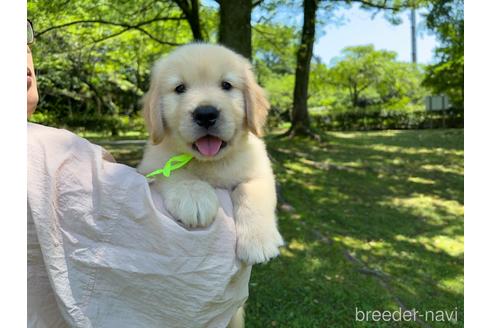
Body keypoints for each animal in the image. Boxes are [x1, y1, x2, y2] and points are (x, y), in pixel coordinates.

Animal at [138, 43, 284, 266]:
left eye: (226, 85)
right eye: (180, 88)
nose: (206, 114)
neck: (212, 161)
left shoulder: (260, 171)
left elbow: (251, 192)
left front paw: (258, 240)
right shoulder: (151, 165)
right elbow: (178, 173)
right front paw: (194, 196)